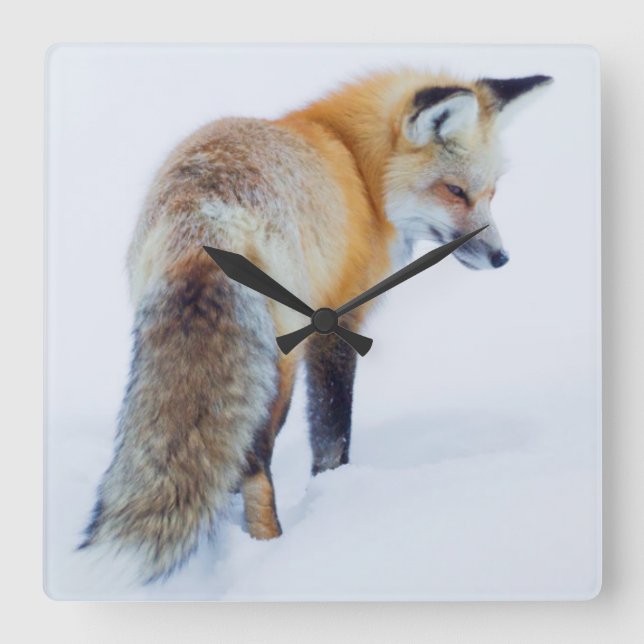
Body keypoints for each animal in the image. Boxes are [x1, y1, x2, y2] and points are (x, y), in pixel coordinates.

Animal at [80, 68, 552, 583]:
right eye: (455, 191)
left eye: (491, 193)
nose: (501, 257)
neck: (358, 169)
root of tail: (206, 211)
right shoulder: (337, 320)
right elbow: (331, 432)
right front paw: (335, 492)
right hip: (278, 364)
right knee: (254, 458)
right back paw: (268, 545)